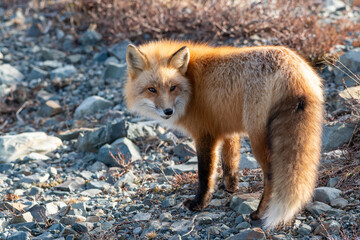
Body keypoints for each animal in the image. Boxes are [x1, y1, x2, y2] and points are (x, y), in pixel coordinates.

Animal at [124, 40, 324, 230]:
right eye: (152, 89)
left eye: (172, 87)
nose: (168, 111)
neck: (191, 82)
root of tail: (293, 67)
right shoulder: (227, 129)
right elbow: (230, 162)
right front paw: (230, 187)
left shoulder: (205, 134)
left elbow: (205, 174)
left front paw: (199, 203)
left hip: (257, 139)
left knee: (271, 176)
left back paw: (259, 213)